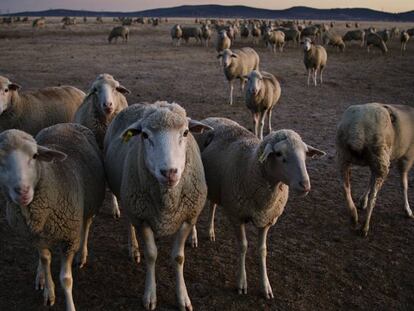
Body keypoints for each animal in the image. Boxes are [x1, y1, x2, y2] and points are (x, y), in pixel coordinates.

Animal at [0, 124, 106, 311]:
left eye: (35, 156)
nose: (22, 191)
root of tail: (65, 124)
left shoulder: (69, 239)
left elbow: (66, 279)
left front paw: (70, 305)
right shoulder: (36, 237)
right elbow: (45, 259)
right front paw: (49, 292)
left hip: (90, 203)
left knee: (86, 225)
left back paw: (82, 255)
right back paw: (40, 275)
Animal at [104, 102, 210, 310]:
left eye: (185, 132)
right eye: (145, 135)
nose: (169, 172)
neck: (167, 202)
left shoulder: (187, 217)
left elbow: (178, 258)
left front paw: (183, 297)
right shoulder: (142, 217)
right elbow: (151, 254)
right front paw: (150, 296)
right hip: (127, 197)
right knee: (129, 223)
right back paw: (133, 248)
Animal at [192, 117, 326, 300]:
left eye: (305, 154)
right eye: (279, 154)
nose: (305, 185)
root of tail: (211, 119)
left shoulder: (266, 219)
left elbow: (262, 251)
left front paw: (265, 287)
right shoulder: (237, 216)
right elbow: (243, 246)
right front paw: (241, 283)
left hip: (216, 186)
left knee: (212, 205)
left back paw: (210, 231)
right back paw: (193, 237)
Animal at [336, 103, 414, 238]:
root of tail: (358, 128)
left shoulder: (375, 165)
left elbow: (370, 180)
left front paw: (362, 200)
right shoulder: (407, 158)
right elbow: (404, 184)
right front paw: (408, 210)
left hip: (345, 156)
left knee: (346, 189)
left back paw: (353, 216)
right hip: (381, 161)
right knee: (374, 197)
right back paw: (365, 227)